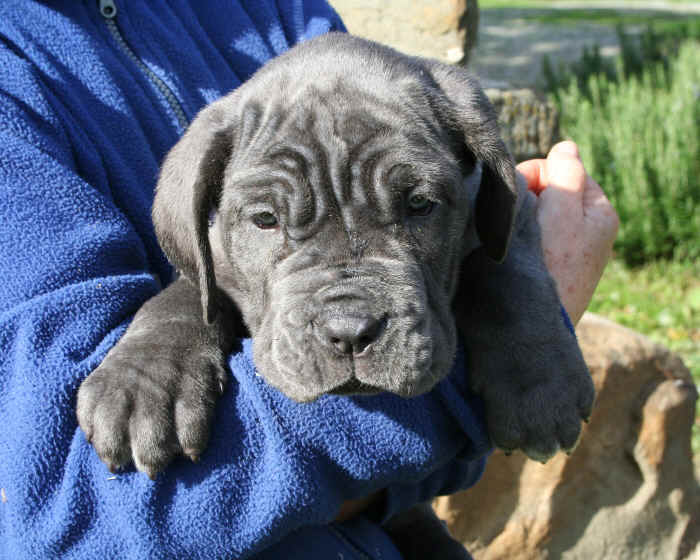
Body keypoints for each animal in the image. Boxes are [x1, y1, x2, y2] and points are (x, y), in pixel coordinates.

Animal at [79, 32, 596, 556]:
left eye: (419, 204)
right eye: (265, 219)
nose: (350, 333)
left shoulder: (512, 204)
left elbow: (505, 268)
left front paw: (539, 384)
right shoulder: (214, 262)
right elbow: (186, 294)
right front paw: (143, 386)